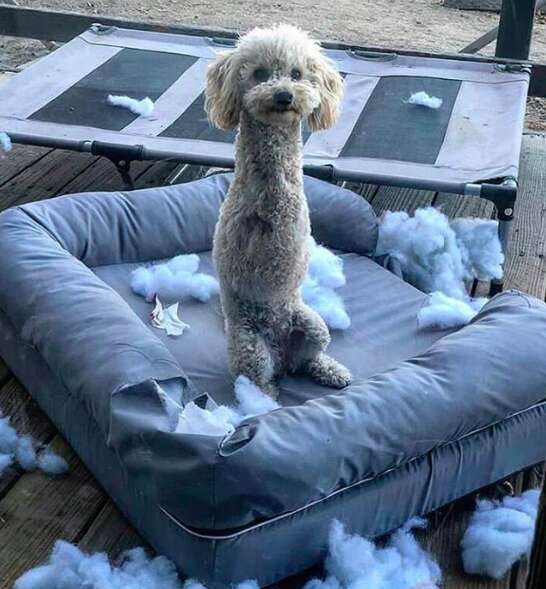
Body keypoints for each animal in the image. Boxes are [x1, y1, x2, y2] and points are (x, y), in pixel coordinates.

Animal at [205, 25, 352, 398]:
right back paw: (266, 396)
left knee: (308, 360)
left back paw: (331, 370)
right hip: (248, 347)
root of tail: (280, 350)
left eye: (297, 74)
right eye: (259, 73)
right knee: (260, 378)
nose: (284, 95)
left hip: (314, 327)